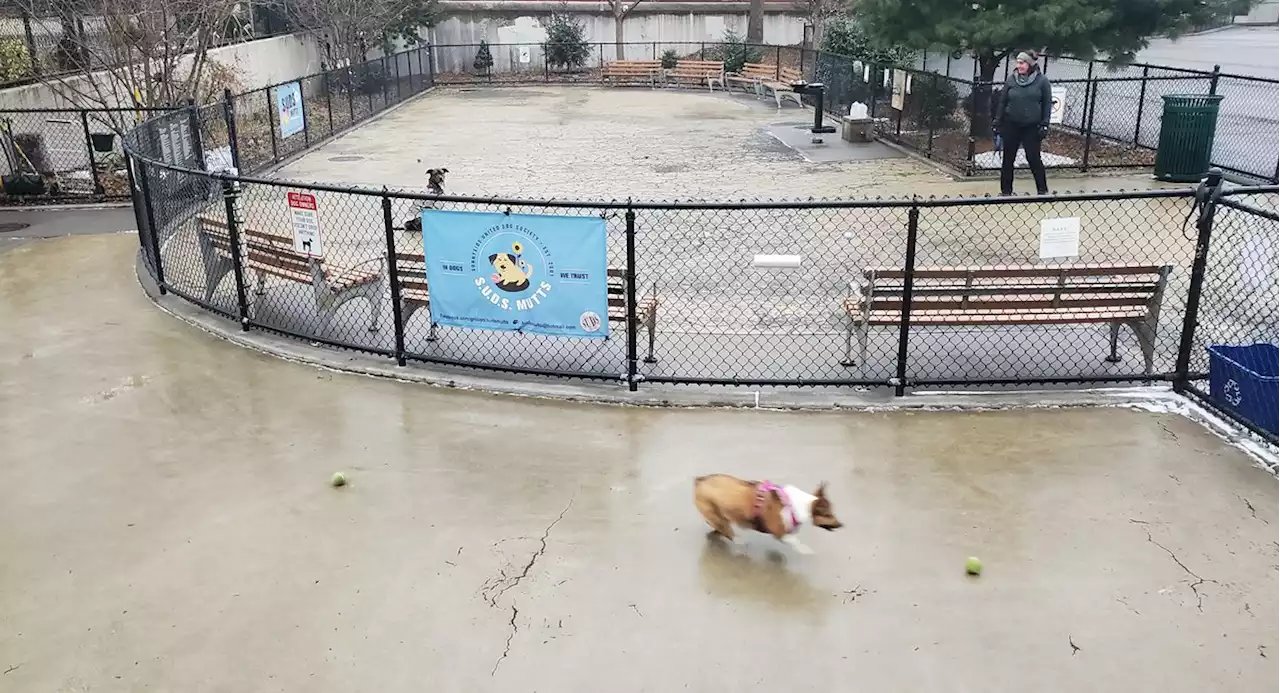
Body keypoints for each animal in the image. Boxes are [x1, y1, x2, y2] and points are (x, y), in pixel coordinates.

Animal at [696, 473, 844, 553]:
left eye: (832, 512)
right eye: (828, 514)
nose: (841, 525)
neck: (797, 506)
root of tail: (699, 481)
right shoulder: (779, 532)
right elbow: (795, 541)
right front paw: (805, 550)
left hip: (719, 518)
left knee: (719, 530)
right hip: (716, 515)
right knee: (728, 532)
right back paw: (739, 542)